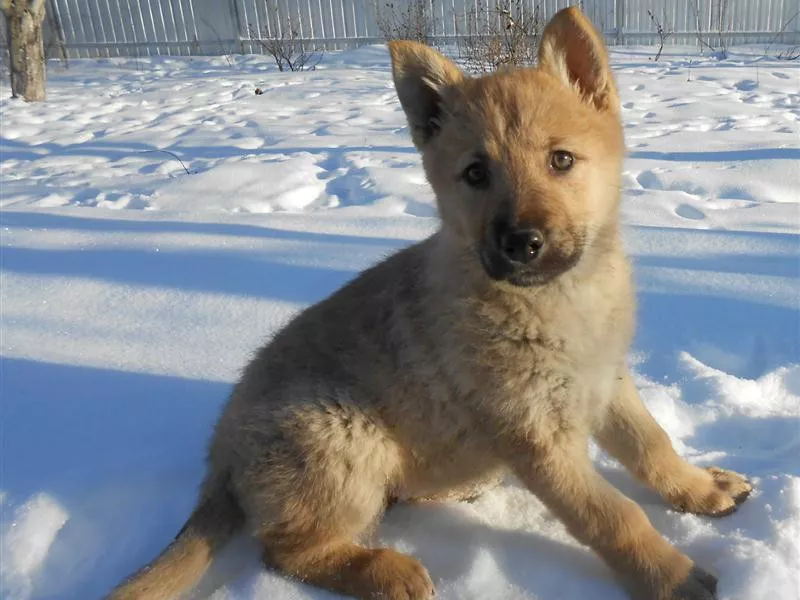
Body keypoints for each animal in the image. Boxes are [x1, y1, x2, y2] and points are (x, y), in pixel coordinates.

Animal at [109, 5, 752, 600]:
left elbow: (653, 446)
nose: (521, 242)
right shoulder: (539, 437)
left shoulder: (607, 383)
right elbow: (614, 515)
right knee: (284, 551)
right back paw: (387, 571)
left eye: (561, 160)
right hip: (343, 438)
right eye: (475, 173)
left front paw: (700, 490)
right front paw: (669, 575)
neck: (558, 301)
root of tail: (219, 460)